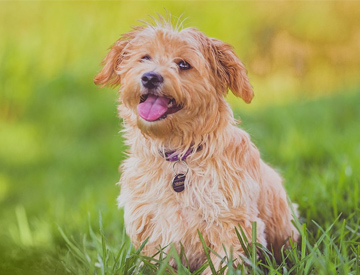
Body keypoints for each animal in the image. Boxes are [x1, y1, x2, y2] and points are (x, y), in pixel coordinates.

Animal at [94, 18, 300, 272]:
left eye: (183, 64)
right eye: (144, 58)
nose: (150, 77)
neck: (179, 154)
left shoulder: (231, 224)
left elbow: (222, 264)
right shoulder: (151, 229)